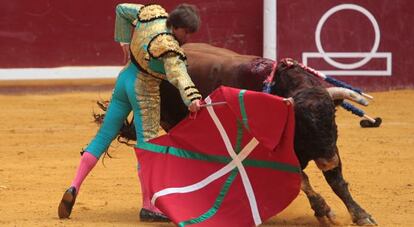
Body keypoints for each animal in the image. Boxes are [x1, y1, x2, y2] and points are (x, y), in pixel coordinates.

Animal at [157, 43, 376, 225]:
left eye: (332, 117)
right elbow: (302, 179)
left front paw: (361, 215)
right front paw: (323, 210)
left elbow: (337, 181)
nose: (328, 161)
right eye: (303, 125)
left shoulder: (331, 147)